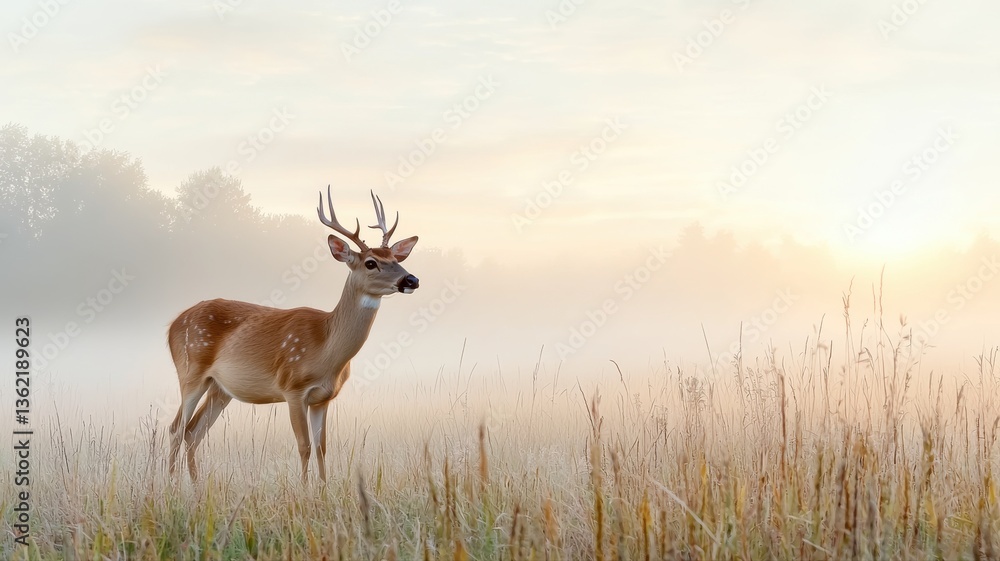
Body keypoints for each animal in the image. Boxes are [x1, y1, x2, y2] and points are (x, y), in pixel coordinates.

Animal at [166, 187, 419, 482]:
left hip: (220, 388)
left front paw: (323, 487)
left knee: (193, 432)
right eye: (371, 263)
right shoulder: (293, 389)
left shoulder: (324, 397)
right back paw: (170, 483)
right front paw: (305, 489)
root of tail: (172, 324)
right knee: (176, 428)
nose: (412, 280)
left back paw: (195, 485)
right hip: (190, 372)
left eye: (396, 259)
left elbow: (322, 447)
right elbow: (304, 446)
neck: (326, 348)